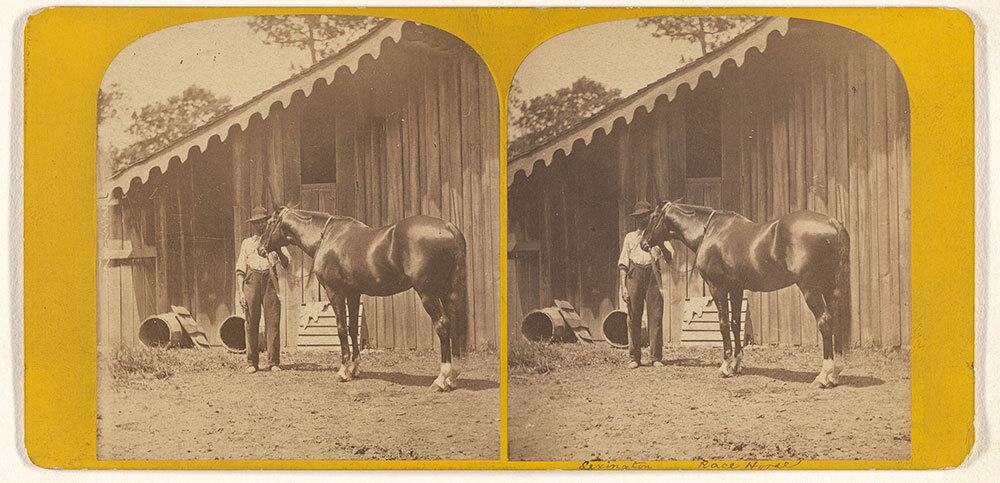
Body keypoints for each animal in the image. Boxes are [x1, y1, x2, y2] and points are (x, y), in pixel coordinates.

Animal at [258, 206, 468, 392]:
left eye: (269, 223)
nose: (260, 248)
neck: (327, 236)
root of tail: (449, 227)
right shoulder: (353, 293)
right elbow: (352, 329)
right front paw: (355, 368)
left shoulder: (335, 292)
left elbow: (342, 329)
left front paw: (343, 371)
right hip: (447, 292)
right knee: (455, 324)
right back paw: (453, 378)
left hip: (428, 293)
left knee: (442, 325)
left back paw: (441, 380)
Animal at [644, 201, 848, 390]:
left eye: (653, 217)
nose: (643, 243)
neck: (709, 232)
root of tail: (832, 223)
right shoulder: (736, 289)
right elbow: (735, 323)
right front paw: (736, 364)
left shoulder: (717, 288)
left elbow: (724, 324)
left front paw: (725, 366)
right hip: (830, 287)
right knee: (837, 320)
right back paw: (835, 373)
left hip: (811, 288)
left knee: (824, 321)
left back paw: (823, 376)